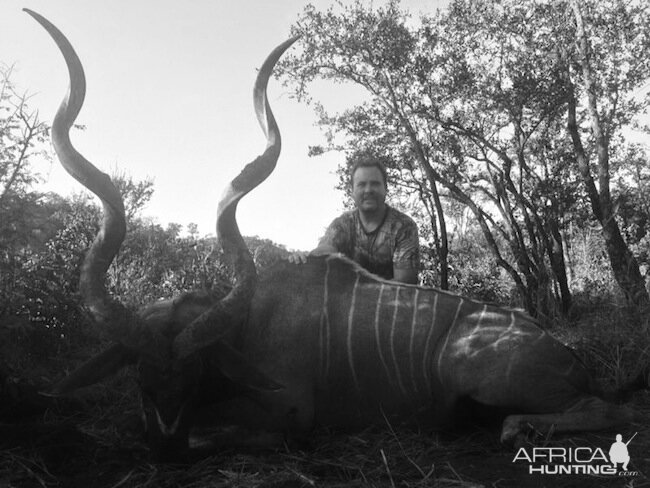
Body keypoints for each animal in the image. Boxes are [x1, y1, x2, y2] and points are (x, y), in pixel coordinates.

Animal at [26, 10, 636, 462]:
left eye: (195, 370)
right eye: (138, 373)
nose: (165, 447)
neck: (247, 327)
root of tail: (565, 352)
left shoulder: (291, 414)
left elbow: (224, 432)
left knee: (612, 411)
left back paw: (517, 429)